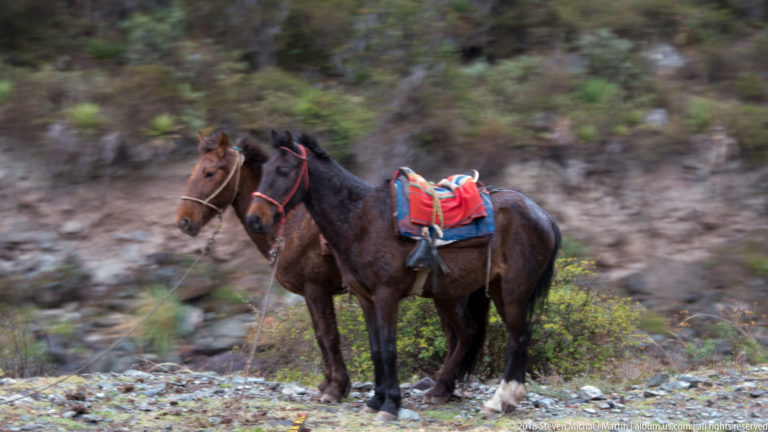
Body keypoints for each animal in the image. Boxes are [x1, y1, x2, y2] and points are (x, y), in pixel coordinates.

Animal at [177, 131, 491, 404]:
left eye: (209, 173)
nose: (184, 221)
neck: (292, 225)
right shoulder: (312, 293)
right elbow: (320, 334)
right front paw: (330, 384)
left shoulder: (317, 289)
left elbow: (328, 335)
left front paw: (336, 387)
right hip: (444, 294)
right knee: (457, 336)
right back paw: (444, 388)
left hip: (451, 294)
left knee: (464, 334)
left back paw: (441, 388)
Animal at [245, 131, 561, 422]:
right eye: (265, 169)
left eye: (284, 170)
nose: (254, 219)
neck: (361, 220)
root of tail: (544, 215)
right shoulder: (366, 298)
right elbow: (375, 349)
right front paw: (375, 400)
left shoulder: (386, 295)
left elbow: (387, 348)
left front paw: (390, 405)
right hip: (489, 289)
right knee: (481, 334)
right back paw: (460, 394)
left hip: (514, 290)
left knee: (518, 337)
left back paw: (499, 400)